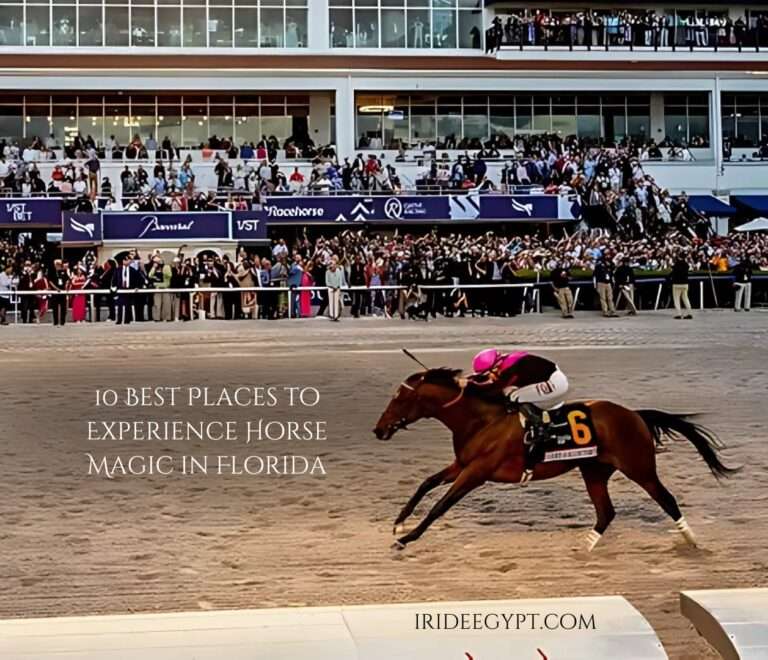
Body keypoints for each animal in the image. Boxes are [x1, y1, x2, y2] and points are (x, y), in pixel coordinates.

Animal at [374, 366, 736, 552]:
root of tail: (635, 414)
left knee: (667, 498)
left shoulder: (477, 471)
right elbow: (425, 483)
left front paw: (406, 539)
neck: (481, 419)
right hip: (594, 470)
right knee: (606, 511)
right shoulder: (461, 465)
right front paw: (399, 523)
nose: (378, 430)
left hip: (639, 467)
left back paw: (691, 539)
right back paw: (585, 547)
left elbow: (440, 505)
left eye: (400, 398)